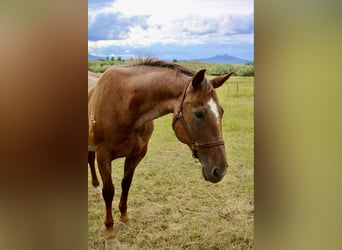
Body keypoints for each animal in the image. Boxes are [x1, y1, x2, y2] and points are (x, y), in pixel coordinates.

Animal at [87, 58, 234, 248]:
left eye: (221, 112)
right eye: (199, 114)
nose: (220, 170)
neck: (124, 104)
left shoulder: (136, 155)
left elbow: (126, 184)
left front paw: (125, 218)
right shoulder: (103, 155)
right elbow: (109, 192)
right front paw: (110, 233)